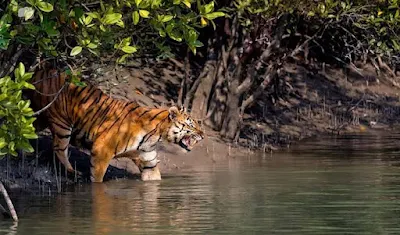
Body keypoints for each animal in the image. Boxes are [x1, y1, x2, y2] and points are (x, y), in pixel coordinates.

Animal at [27, 67, 206, 183]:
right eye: (191, 125)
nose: (203, 135)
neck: (156, 135)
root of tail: (40, 71)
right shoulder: (101, 150)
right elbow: (97, 178)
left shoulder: (148, 161)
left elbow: (154, 179)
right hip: (62, 124)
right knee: (59, 148)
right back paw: (73, 172)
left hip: (40, 117)